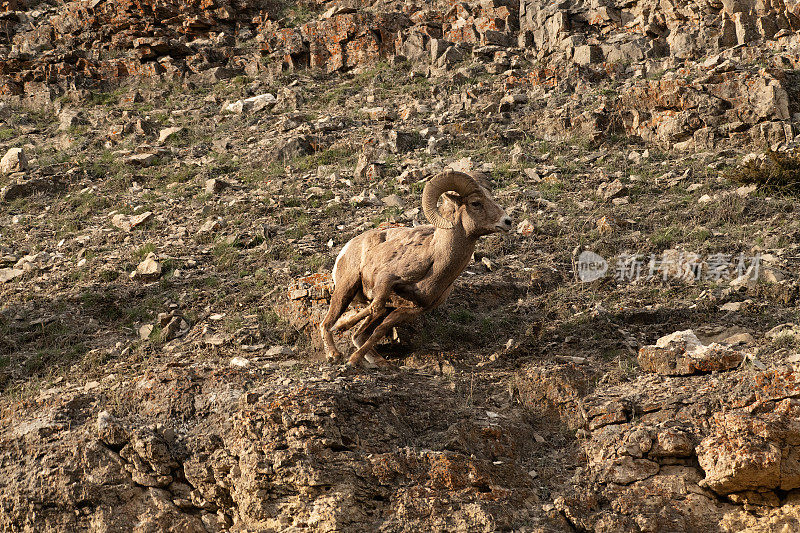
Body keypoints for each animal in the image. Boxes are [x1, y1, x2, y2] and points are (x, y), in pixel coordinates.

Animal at [318, 170, 512, 366]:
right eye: (475, 203)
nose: (507, 221)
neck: (436, 262)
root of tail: (348, 247)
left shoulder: (408, 310)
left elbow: (379, 330)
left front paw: (354, 359)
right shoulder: (386, 280)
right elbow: (376, 306)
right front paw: (342, 326)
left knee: (359, 335)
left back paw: (379, 362)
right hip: (346, 288)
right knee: (327, 323)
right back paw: (334, 353)